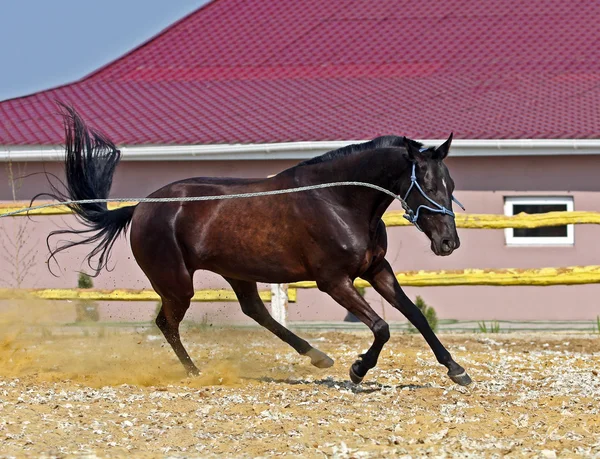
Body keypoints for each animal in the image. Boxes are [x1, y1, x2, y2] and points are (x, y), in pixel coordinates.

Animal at [43, 107, 474, 388]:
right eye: (428, 185)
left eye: (451, 185)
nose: (448, 243)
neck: (338, 200)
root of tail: (141, 208)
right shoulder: (333, 281)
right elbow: (382, 328)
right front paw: (357, 371)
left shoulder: (376, 269)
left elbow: (415, 317)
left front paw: (457, 370)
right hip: (177, 283)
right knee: (167, 323)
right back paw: (196, 372)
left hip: (237, 272)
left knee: (255, 311)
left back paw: (317, 356)